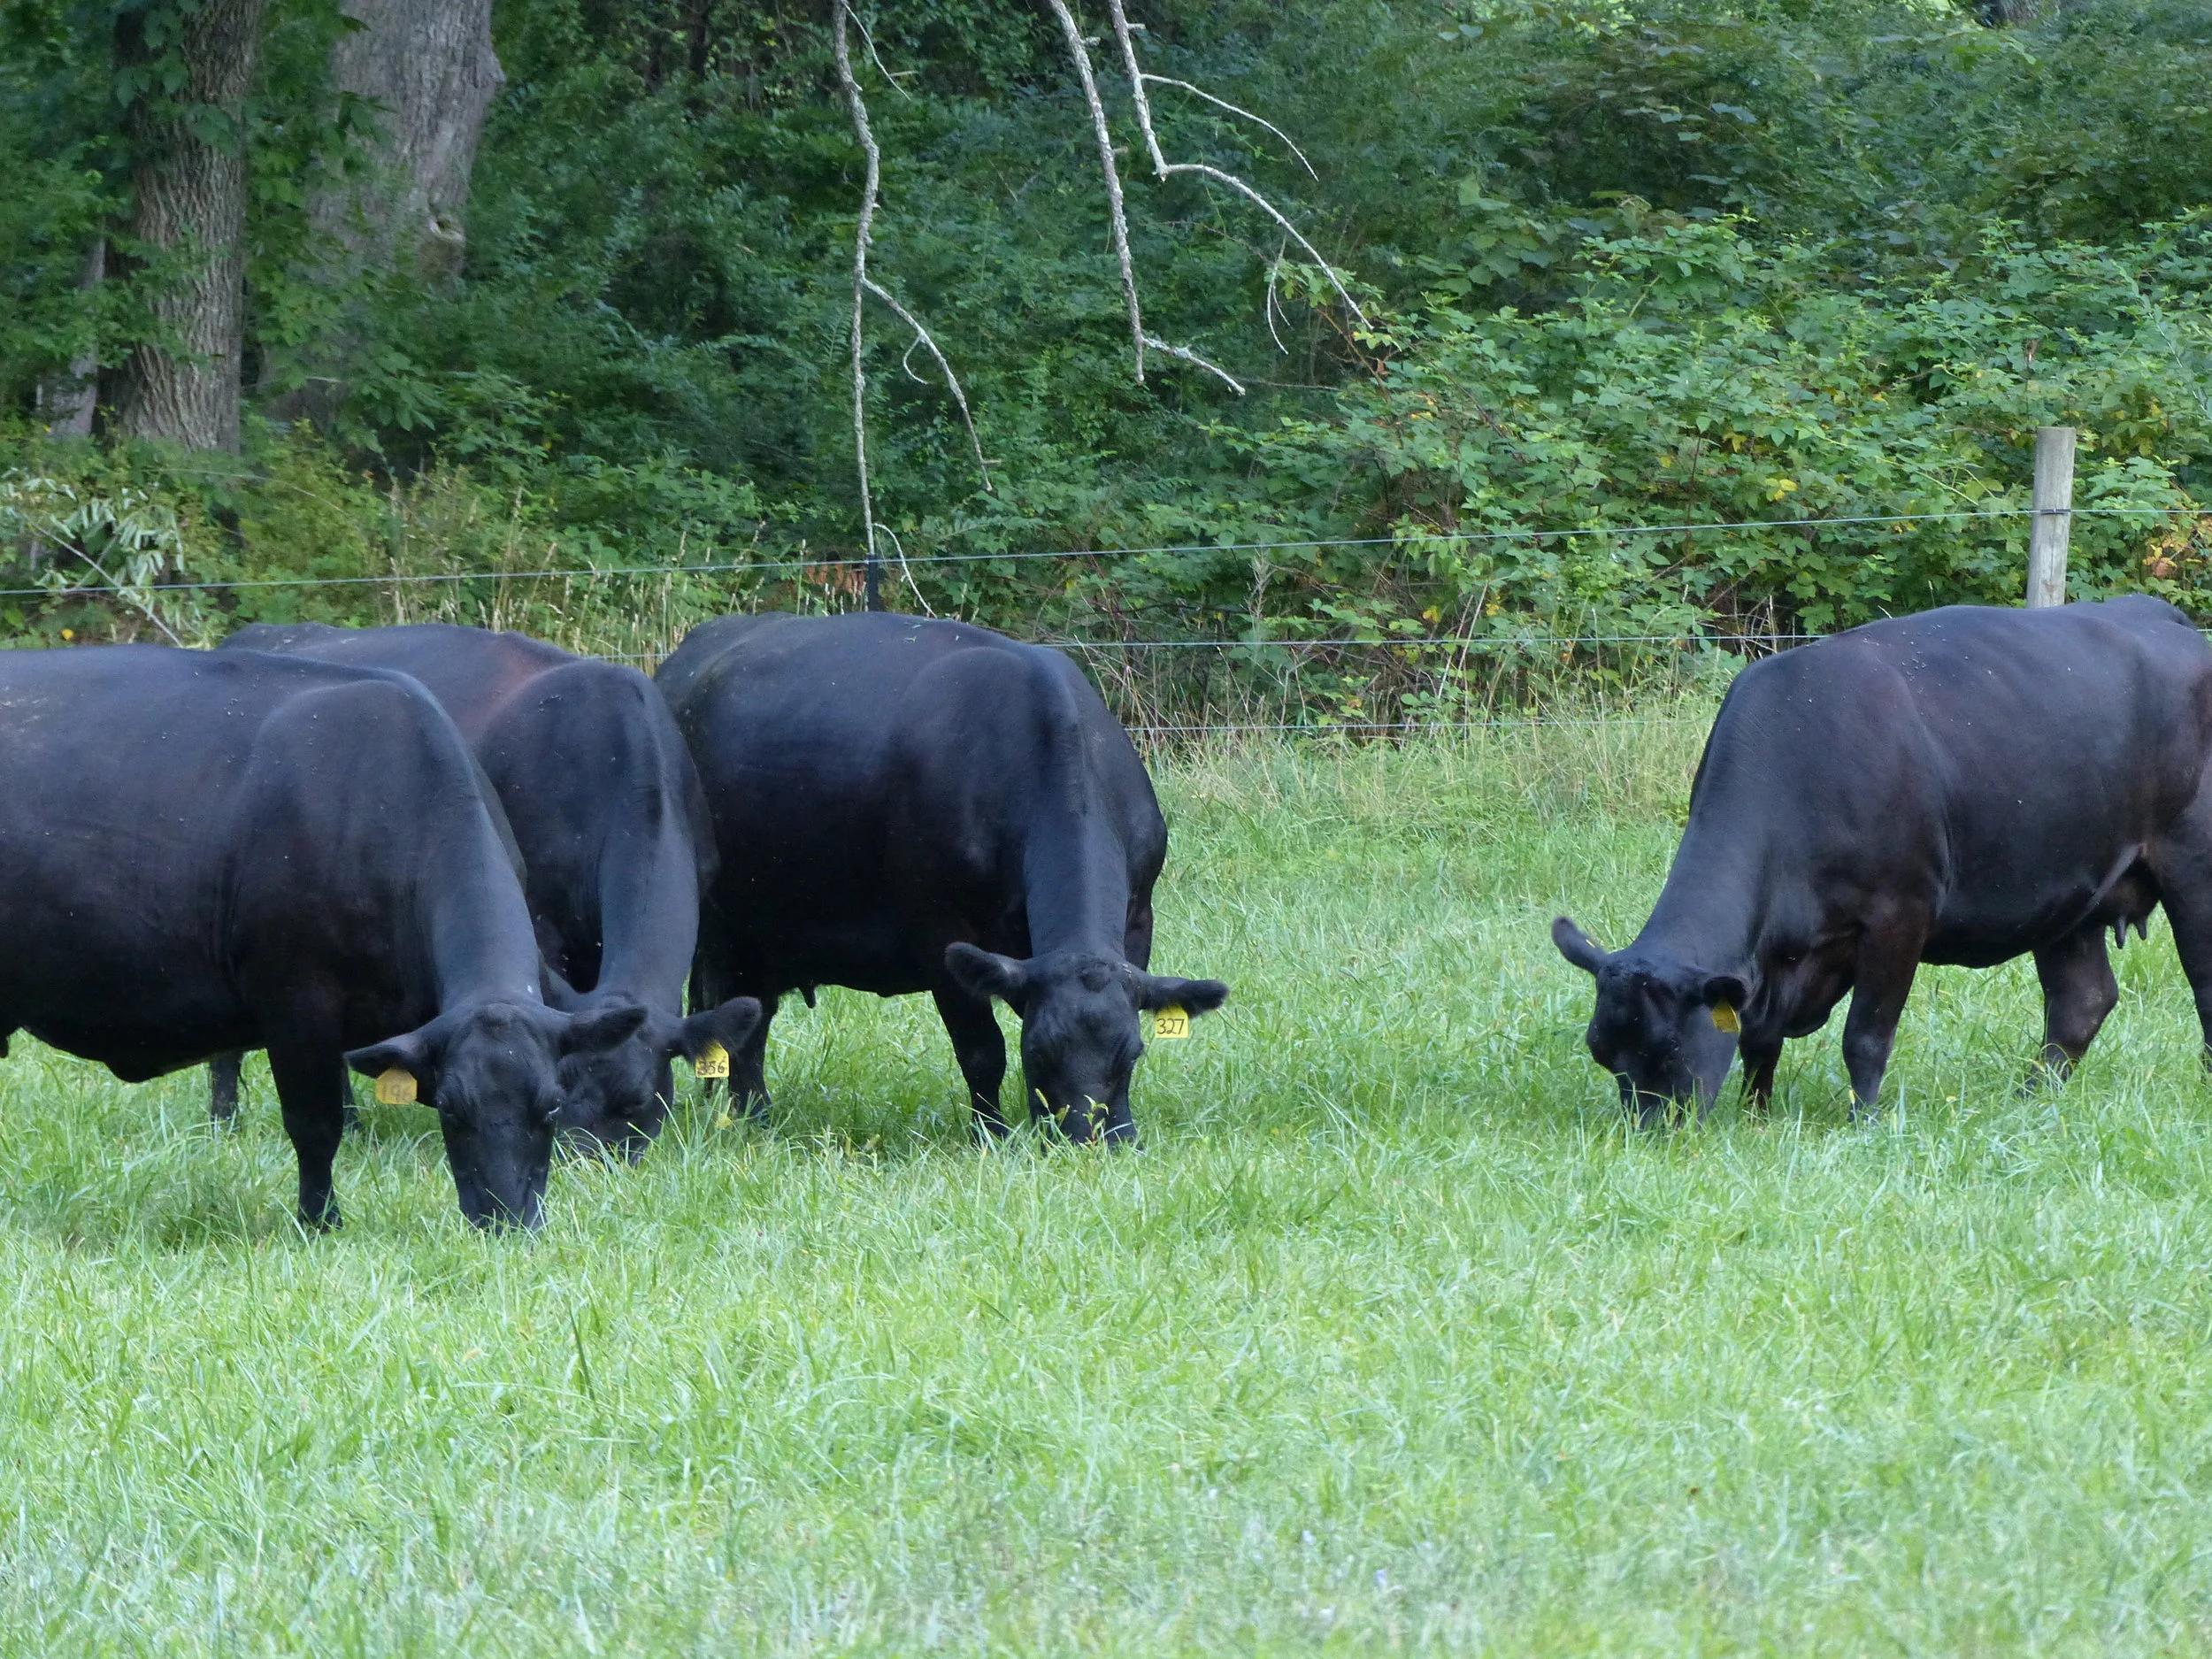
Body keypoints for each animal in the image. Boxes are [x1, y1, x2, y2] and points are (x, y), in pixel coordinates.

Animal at [0, 645, 653, 1228]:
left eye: (552, 1103)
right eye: (450, 1106)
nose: (507, 1221)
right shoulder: (296, 1002)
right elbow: (315, 1124)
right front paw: (320, 1221)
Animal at [654, 612, 1228, 1143]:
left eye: (1132, 1052)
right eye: (1038, 1050)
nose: (1087, 1141)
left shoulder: (1138, 917)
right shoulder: (941, 936)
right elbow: (982, 1051)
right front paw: (991, 1137)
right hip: (725, 929)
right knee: (735, 1026)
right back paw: (753, 1121)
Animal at [1553, 595, 2212, 1123]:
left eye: (1669, 1050)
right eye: (1603, 1052)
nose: (1649, 1131)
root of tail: (2160, 614)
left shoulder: (1900, 914)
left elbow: (1865, 1037)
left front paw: (1862, 1122)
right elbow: (1758, 1041)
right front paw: (1757, 1115)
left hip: (2194, 865)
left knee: (2200, 987)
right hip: (2068, 889)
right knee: (2082, 1001)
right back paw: (2030, 1100)